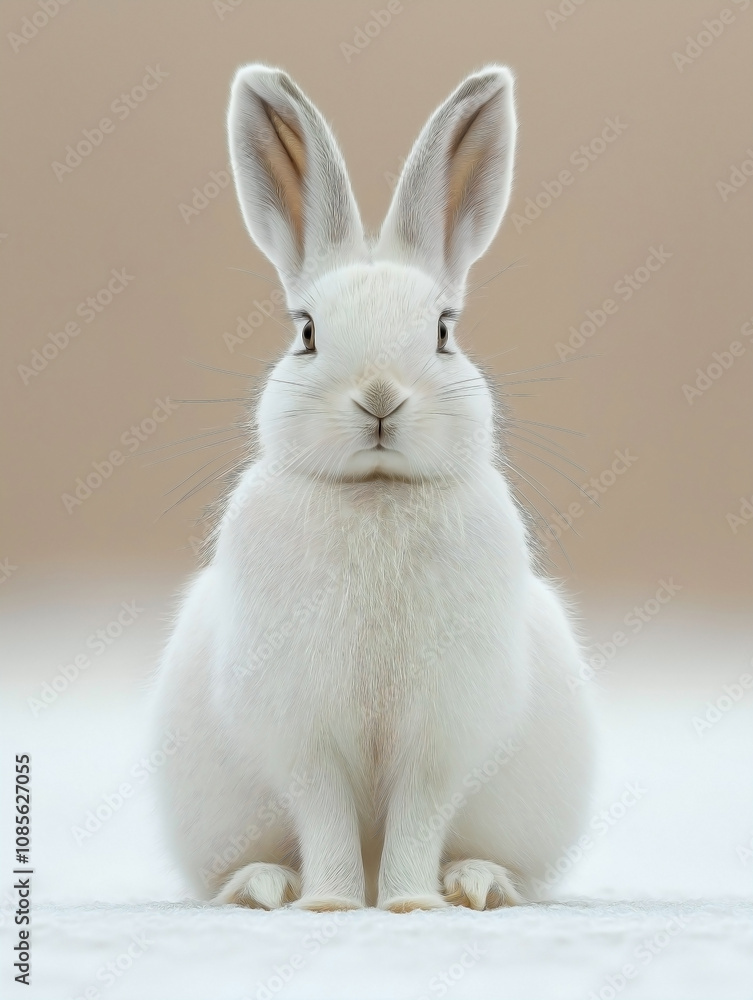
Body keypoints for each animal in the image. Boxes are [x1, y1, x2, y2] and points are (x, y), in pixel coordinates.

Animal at [152, 62, 595, 913]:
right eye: (305, 333)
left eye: (444, 331)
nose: (380, 398)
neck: (378, 494)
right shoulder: (302, 731)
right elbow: (321, 812)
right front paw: (330, 904)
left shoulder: (442, 735)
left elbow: (419, 816)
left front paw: (408, 904)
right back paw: (265, 886)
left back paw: (475, 883)